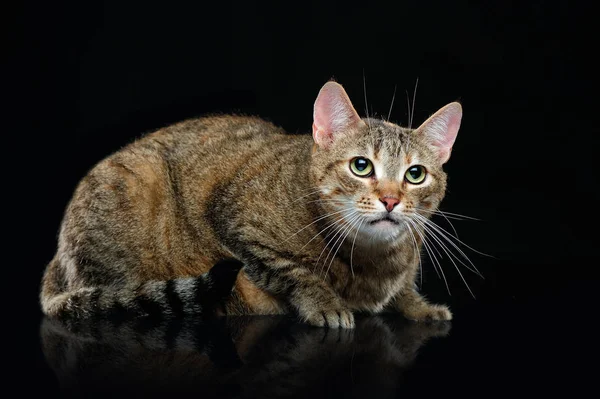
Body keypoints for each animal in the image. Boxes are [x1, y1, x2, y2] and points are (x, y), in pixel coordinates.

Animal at [39, 80, 462, 328]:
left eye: (415, 174)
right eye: (361, 166)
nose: (390, 199)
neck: (373, 260)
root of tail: (55, 263)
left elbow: (403, 290)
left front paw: (420, 306)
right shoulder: (237, 223)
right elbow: (292, 271)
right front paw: (325, 303)